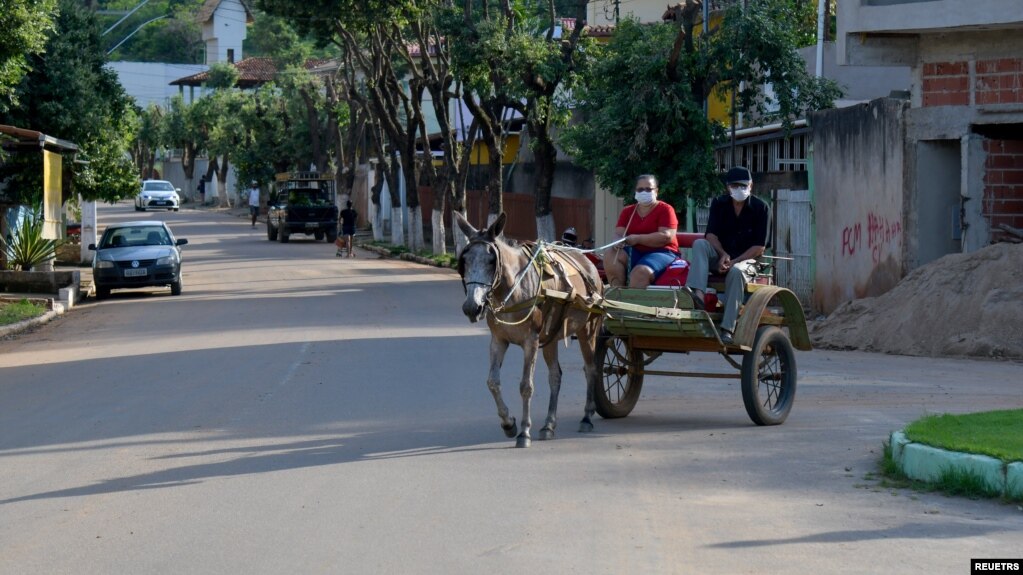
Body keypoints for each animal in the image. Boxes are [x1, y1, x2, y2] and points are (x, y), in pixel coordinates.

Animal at [452, 211, 601, 448]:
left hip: (589, 330)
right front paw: (508, 424)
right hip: (551, 336)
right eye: (464, 260)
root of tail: (588, 263)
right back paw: (548, 425)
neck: (513, 289)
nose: (472, 307)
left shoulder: (530, 341)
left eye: (491, 261)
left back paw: (586, 417)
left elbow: (526, 386)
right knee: (555, 375)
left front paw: (524, 432)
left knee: (591, 368)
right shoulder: (498, 340)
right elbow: (492, 382)